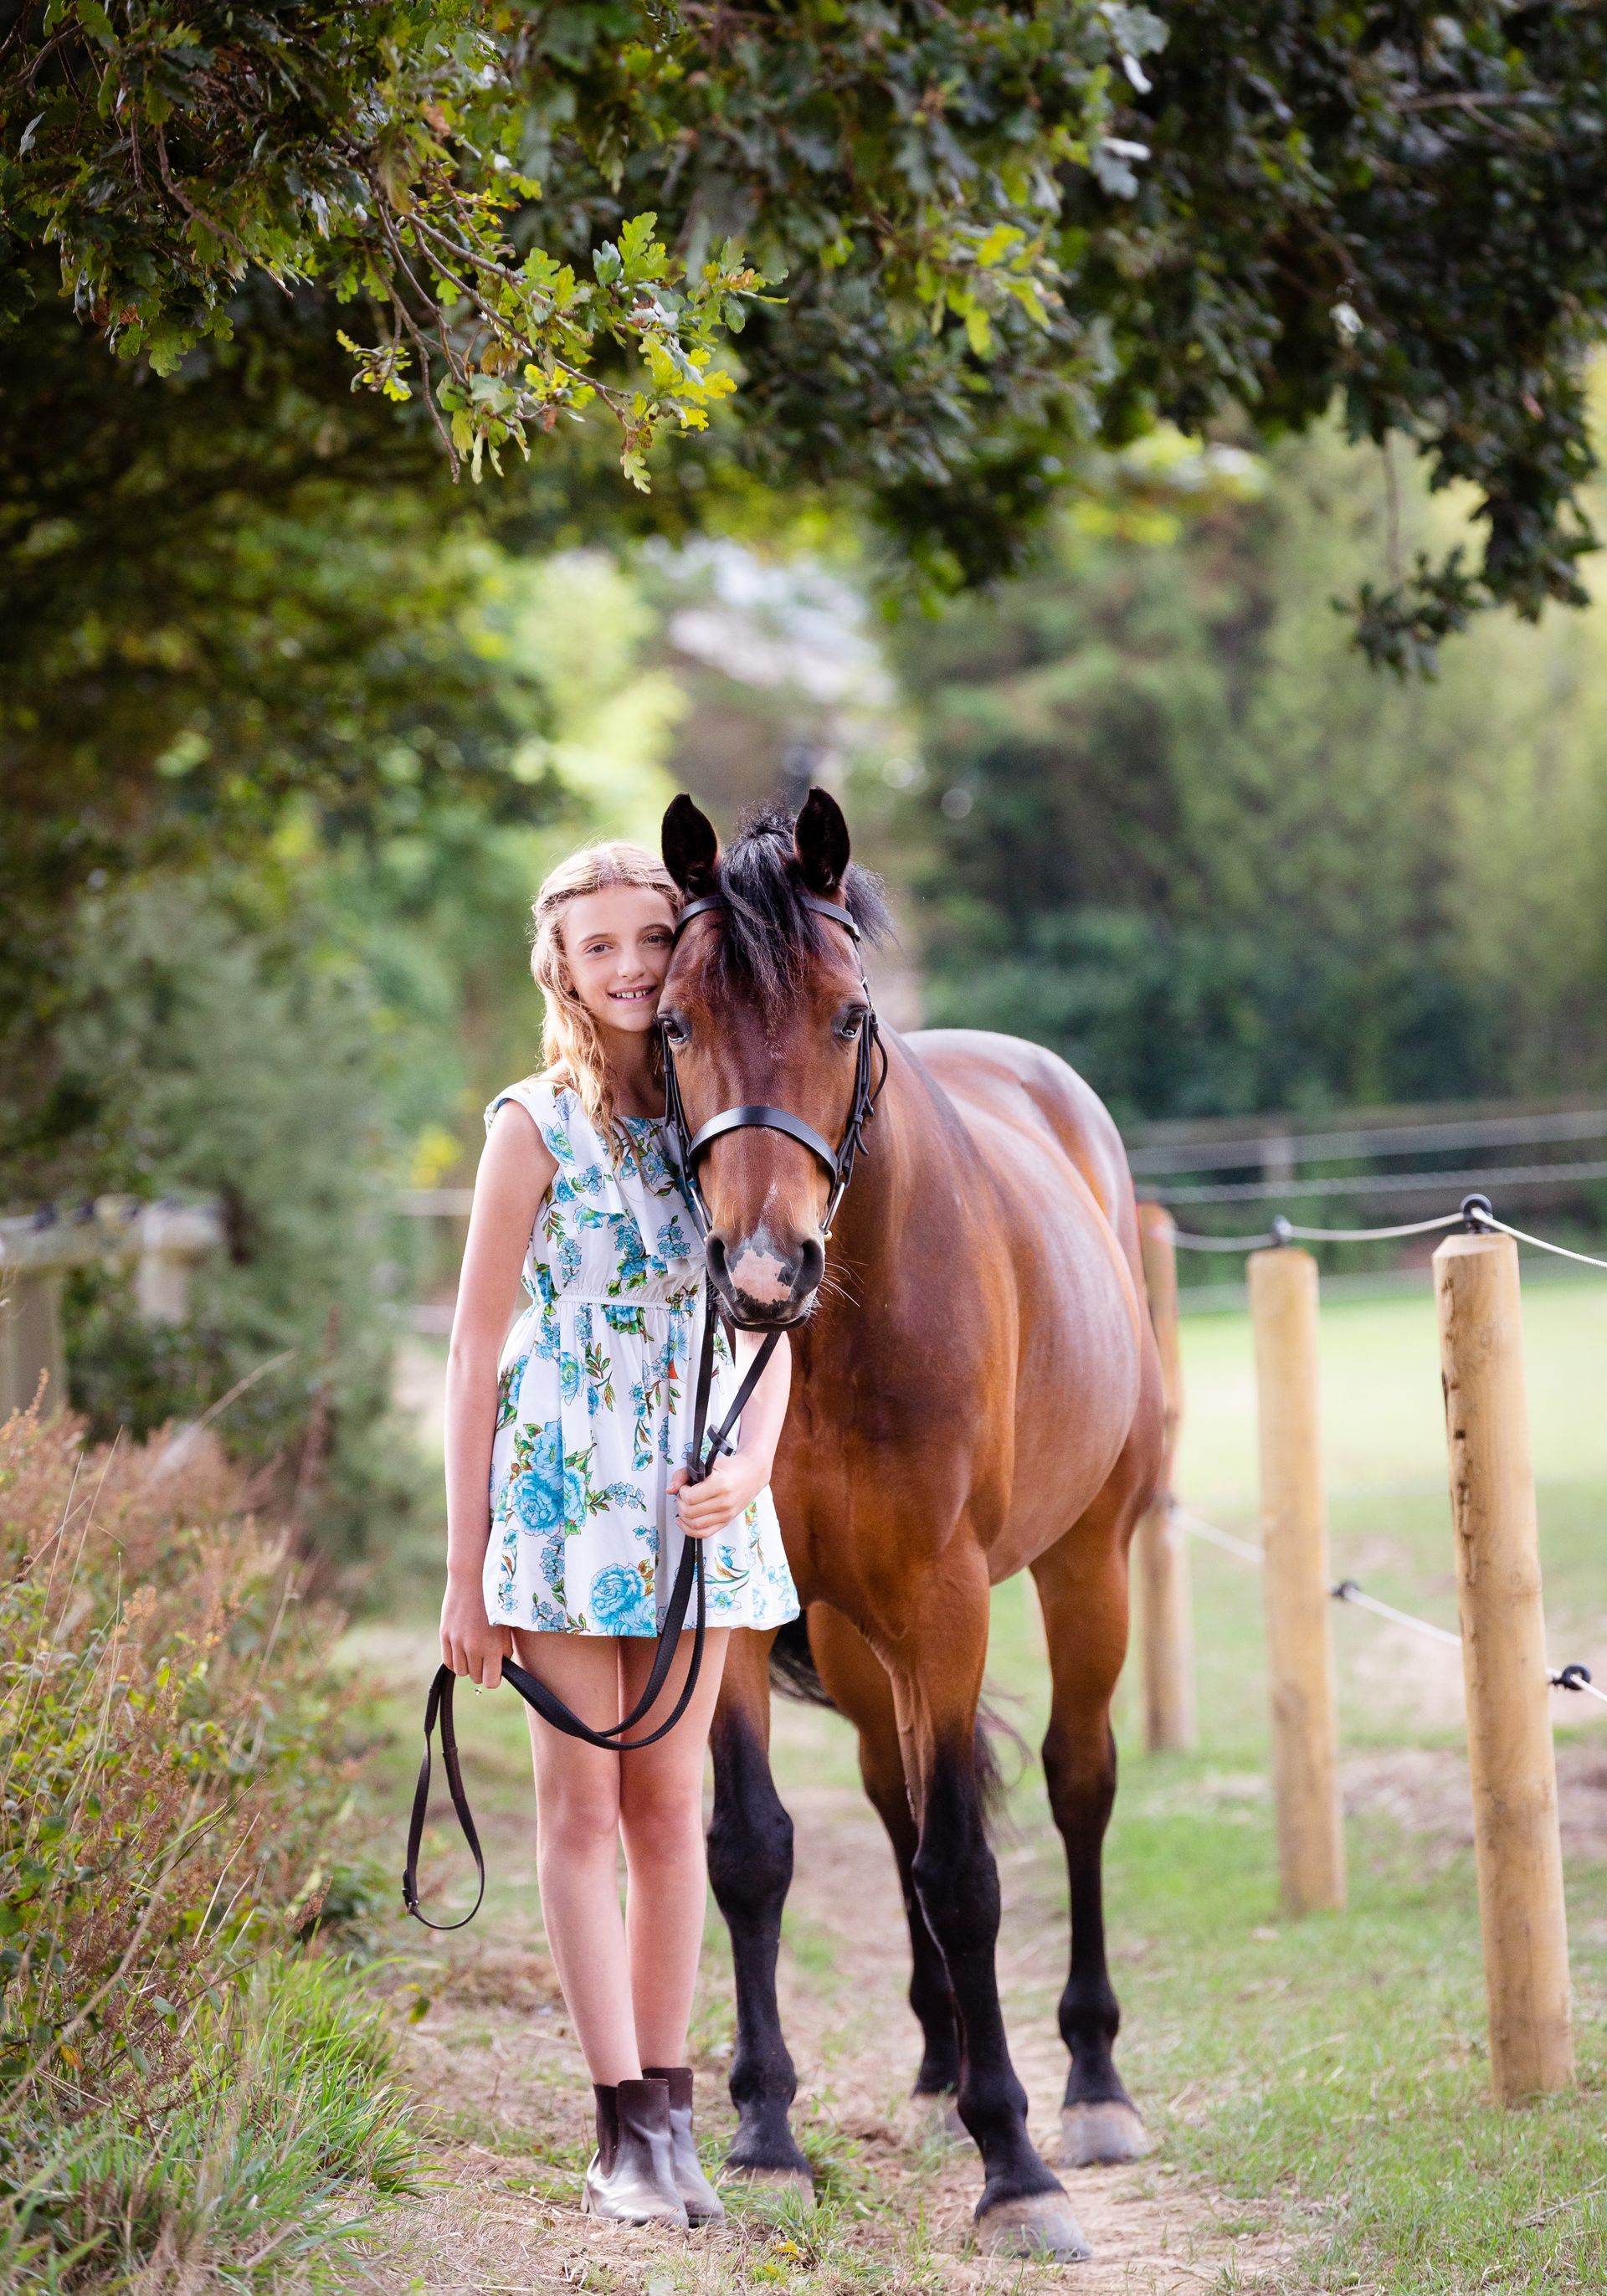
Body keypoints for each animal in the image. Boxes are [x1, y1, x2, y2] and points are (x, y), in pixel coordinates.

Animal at [659, 789, 1163, 2261]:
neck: (825, 1349)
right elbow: (751, 1849)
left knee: (1075, 1779)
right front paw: (767, 2133)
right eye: (673, 1022)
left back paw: (1090, 2085)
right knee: (890, 1797)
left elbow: (964, 1870)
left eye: (845, 1015)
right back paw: (941, 2067)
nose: (764, 1270)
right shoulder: (749, 1604)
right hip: (850, 1629)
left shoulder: (945, 1603)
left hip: (1086, 1566)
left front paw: (1019, 2165)